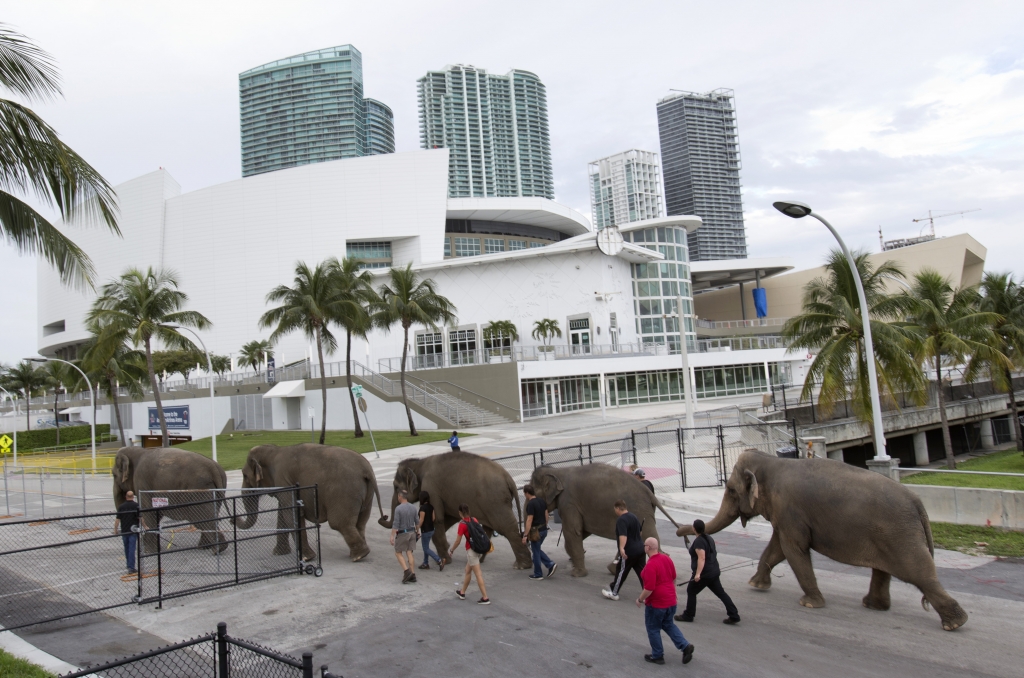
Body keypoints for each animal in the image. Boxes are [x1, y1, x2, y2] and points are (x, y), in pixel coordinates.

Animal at [235, 446, 387, 561]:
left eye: (245, 476)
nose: (232, 519)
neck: (274, 450)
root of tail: (366, 470)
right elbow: (284, 512)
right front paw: (279, 553)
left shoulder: (283, 479)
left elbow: (291, 514)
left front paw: (307, 558)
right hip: (367, 494)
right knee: (360, 523)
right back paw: (359, 554)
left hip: (345, 493)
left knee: (339, 523)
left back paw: (359, 556)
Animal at [378, 454, 536, 569]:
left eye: (396, 487)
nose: (383, 516)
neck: (420, 463)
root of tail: (509, 479)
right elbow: (447, 519)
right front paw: (446, 551)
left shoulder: (431, 488)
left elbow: (438, 519)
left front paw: (444, 560)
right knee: (489, 528)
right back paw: (480, 558)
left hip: (496, 502)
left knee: (507, 528)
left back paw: (522, 566)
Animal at [528, 464, 688, 577]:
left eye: (532, 491)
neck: (557, 471)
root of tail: (650, 493)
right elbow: (583, 531)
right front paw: (573, 560)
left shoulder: (568, 503)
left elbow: (573, 532)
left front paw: (577, 574)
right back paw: (614, 569)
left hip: (640, 511)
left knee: (649, 536)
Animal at [679, 450, 966, 630]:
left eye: (730, 490)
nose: (681, 532)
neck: (771, 461)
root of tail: (918, 503)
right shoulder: (786, 515)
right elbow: (776, 548)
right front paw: (757, 584)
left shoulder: (790, 511)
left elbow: (792, 549)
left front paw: (810, 604)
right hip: (886, 534)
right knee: (883, 570)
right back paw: (874, 606)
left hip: (900, 535)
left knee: (920, 573)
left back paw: (954, 623)